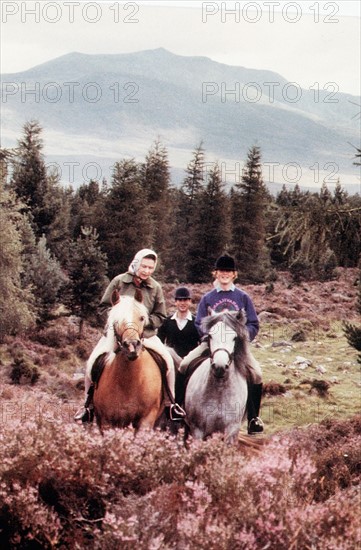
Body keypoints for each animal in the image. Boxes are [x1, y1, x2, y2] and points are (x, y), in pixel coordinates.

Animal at [92, 292, 164, 434]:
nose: (131, 345)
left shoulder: (146, 420)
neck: (129, 381)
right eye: (116, 320)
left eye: (142, 318)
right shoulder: (107, 421)